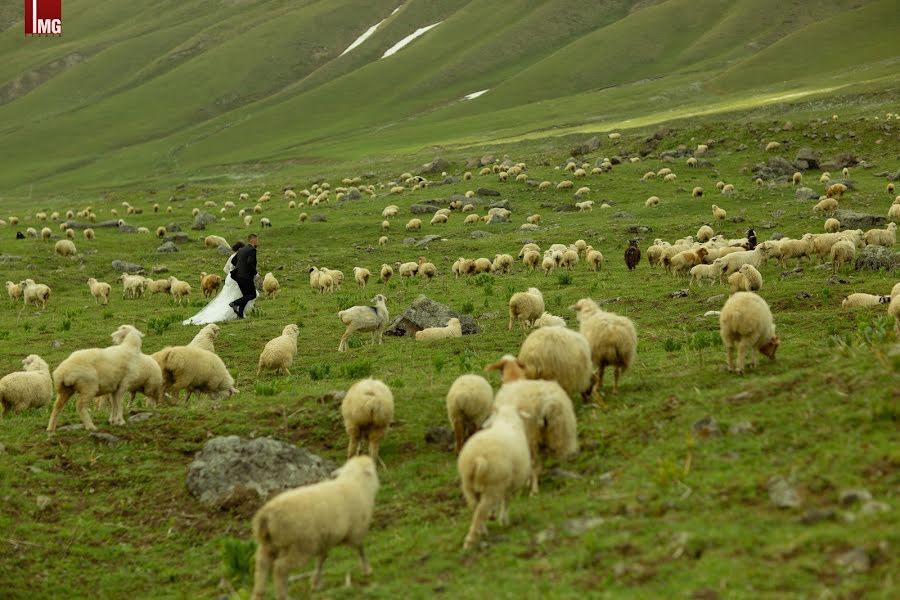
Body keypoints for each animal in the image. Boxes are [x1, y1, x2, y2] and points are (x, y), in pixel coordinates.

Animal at [250, 454, 380, 596]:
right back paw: (284, 595)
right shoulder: (356, 531)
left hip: (268, 545)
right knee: (280, 568)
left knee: (261, 568)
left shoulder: (323, 540)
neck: (356, 482)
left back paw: (258, 594)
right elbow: (360, 550)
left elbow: (321, 560)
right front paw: (367, 570)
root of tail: (266, 515)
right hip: (300, 546)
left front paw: (315, 583)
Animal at [458, 400, 536, 552]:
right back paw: (470, 541)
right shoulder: (510, 485)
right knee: (480, 511)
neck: (506, 420)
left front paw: (494, 516)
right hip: (494, 484)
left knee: (475, 508)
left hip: (468, 486)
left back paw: (482, 531)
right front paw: (503, 521)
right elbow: (506, 502)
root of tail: (479, 459)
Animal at [486, 354, 576, 494]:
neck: (514, 378)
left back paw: (533, 490)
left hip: (531, 436)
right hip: (559, 432)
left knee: (534, 463)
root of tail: (547, 404)